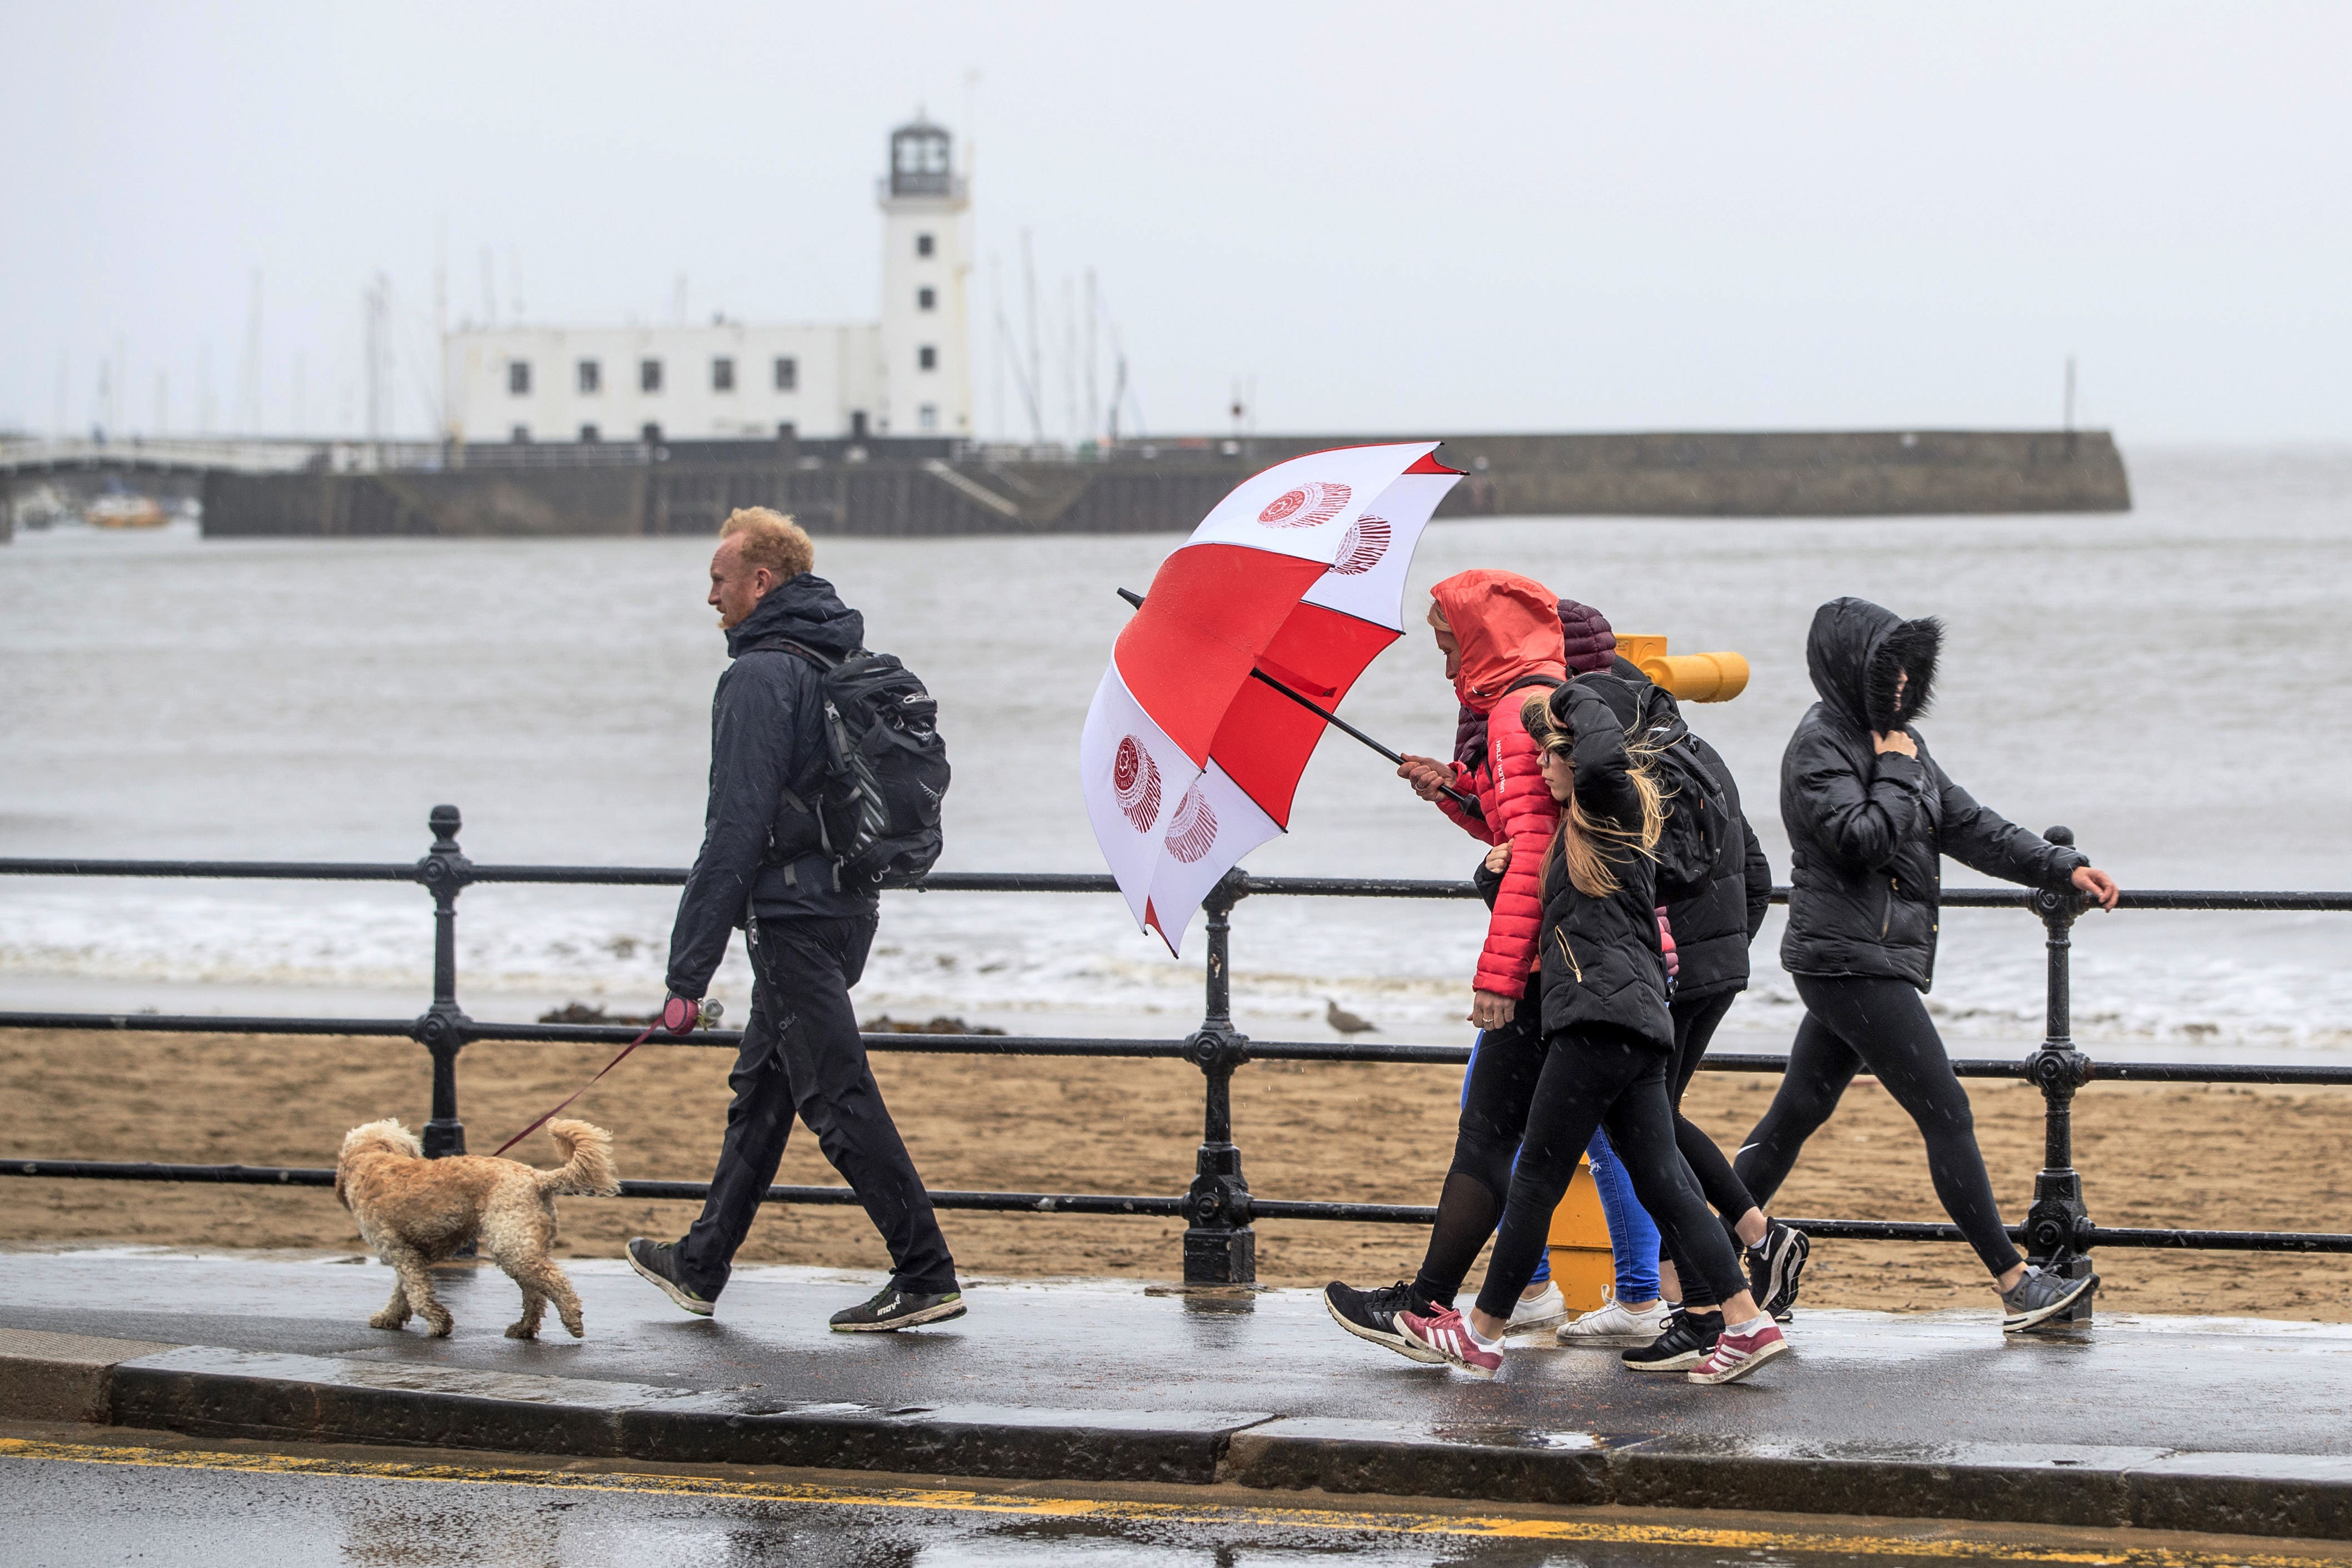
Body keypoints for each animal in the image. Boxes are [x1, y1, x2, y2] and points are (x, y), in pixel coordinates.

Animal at [341, 1114, 621, 1335]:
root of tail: (538, 1178)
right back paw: (524, 1328)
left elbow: (417, 1295)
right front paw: (390, 1317)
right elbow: (404, 1292)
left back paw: (572, 1320)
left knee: (556, 1282)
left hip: (512, 1247)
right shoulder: (412, 1255)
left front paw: (439, 1322)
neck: (374, 1159)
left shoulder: (402, 1254)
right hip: (522, 1248)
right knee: (535, 1294)